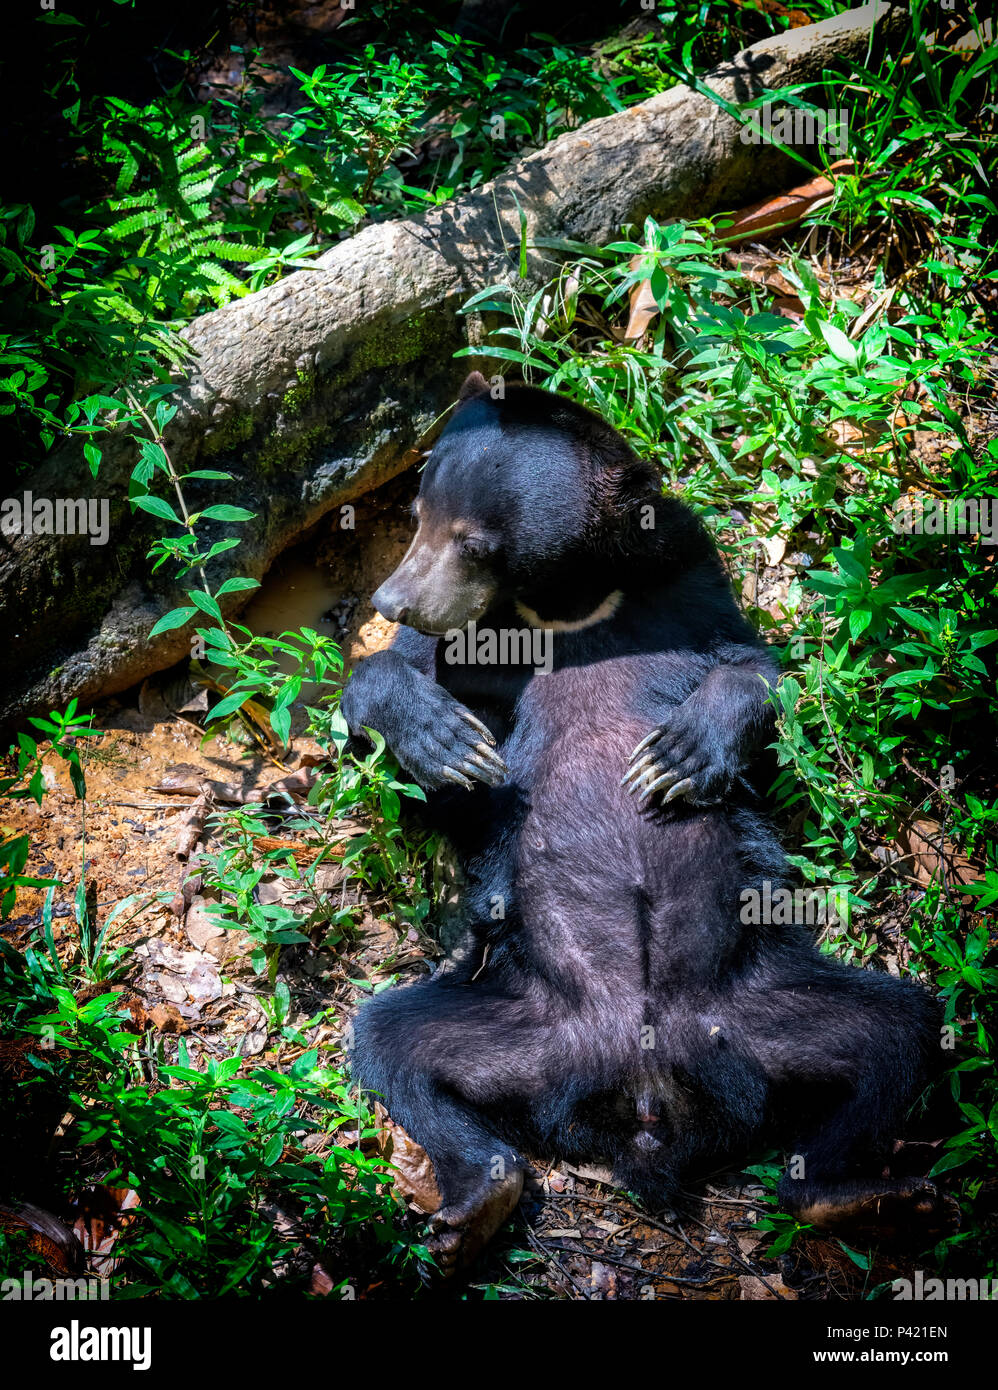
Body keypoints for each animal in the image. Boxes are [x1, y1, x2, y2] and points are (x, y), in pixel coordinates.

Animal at [341, 371, 952, 1276]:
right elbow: (391, 696)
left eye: (475, 542)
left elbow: (756, 666)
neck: (568, 607)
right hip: (518, 1017)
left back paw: (860, 1195)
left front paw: (678, 755)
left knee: (896, 1030)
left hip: (763, 1007)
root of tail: (644, 1095)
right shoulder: (465, 649)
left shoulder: (688, 572)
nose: (395, 600)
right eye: (418, 513)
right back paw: (477, 1202)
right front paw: (444, 740)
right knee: (394, 1042)